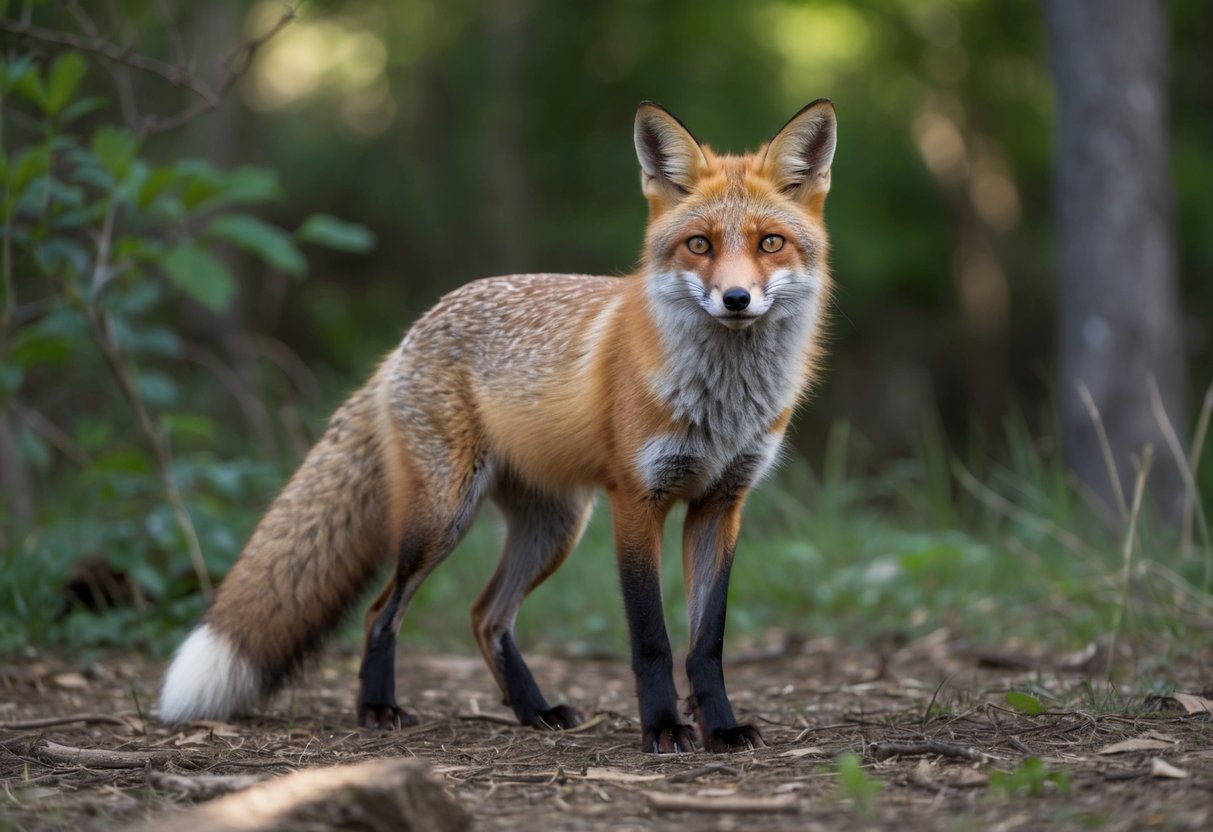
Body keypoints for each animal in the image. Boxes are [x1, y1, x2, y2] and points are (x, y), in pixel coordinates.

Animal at [159, 99, 837, 753]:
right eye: (699, 245)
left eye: (770, 244)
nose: (735, 299)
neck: (721, 403)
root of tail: (409, 336)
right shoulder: (636, 500)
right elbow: (652, 640)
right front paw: (664, 730)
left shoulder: (721, 504)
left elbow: (707, 643)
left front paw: (720, 728)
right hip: (442, 517)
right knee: (383, 611)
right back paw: (378, 708)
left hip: (553, 529)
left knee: (485, 615)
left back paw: (534, 711)